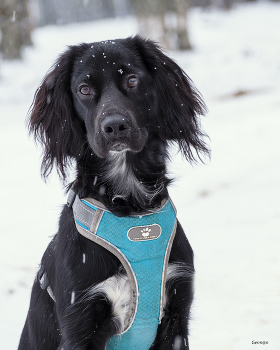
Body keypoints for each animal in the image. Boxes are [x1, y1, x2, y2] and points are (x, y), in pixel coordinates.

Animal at [18, 36, 209, 350]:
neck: (132, 210)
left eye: (132, 80)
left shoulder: (177, 314)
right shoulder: (80, 322)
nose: (115, 126)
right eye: (84, 89)